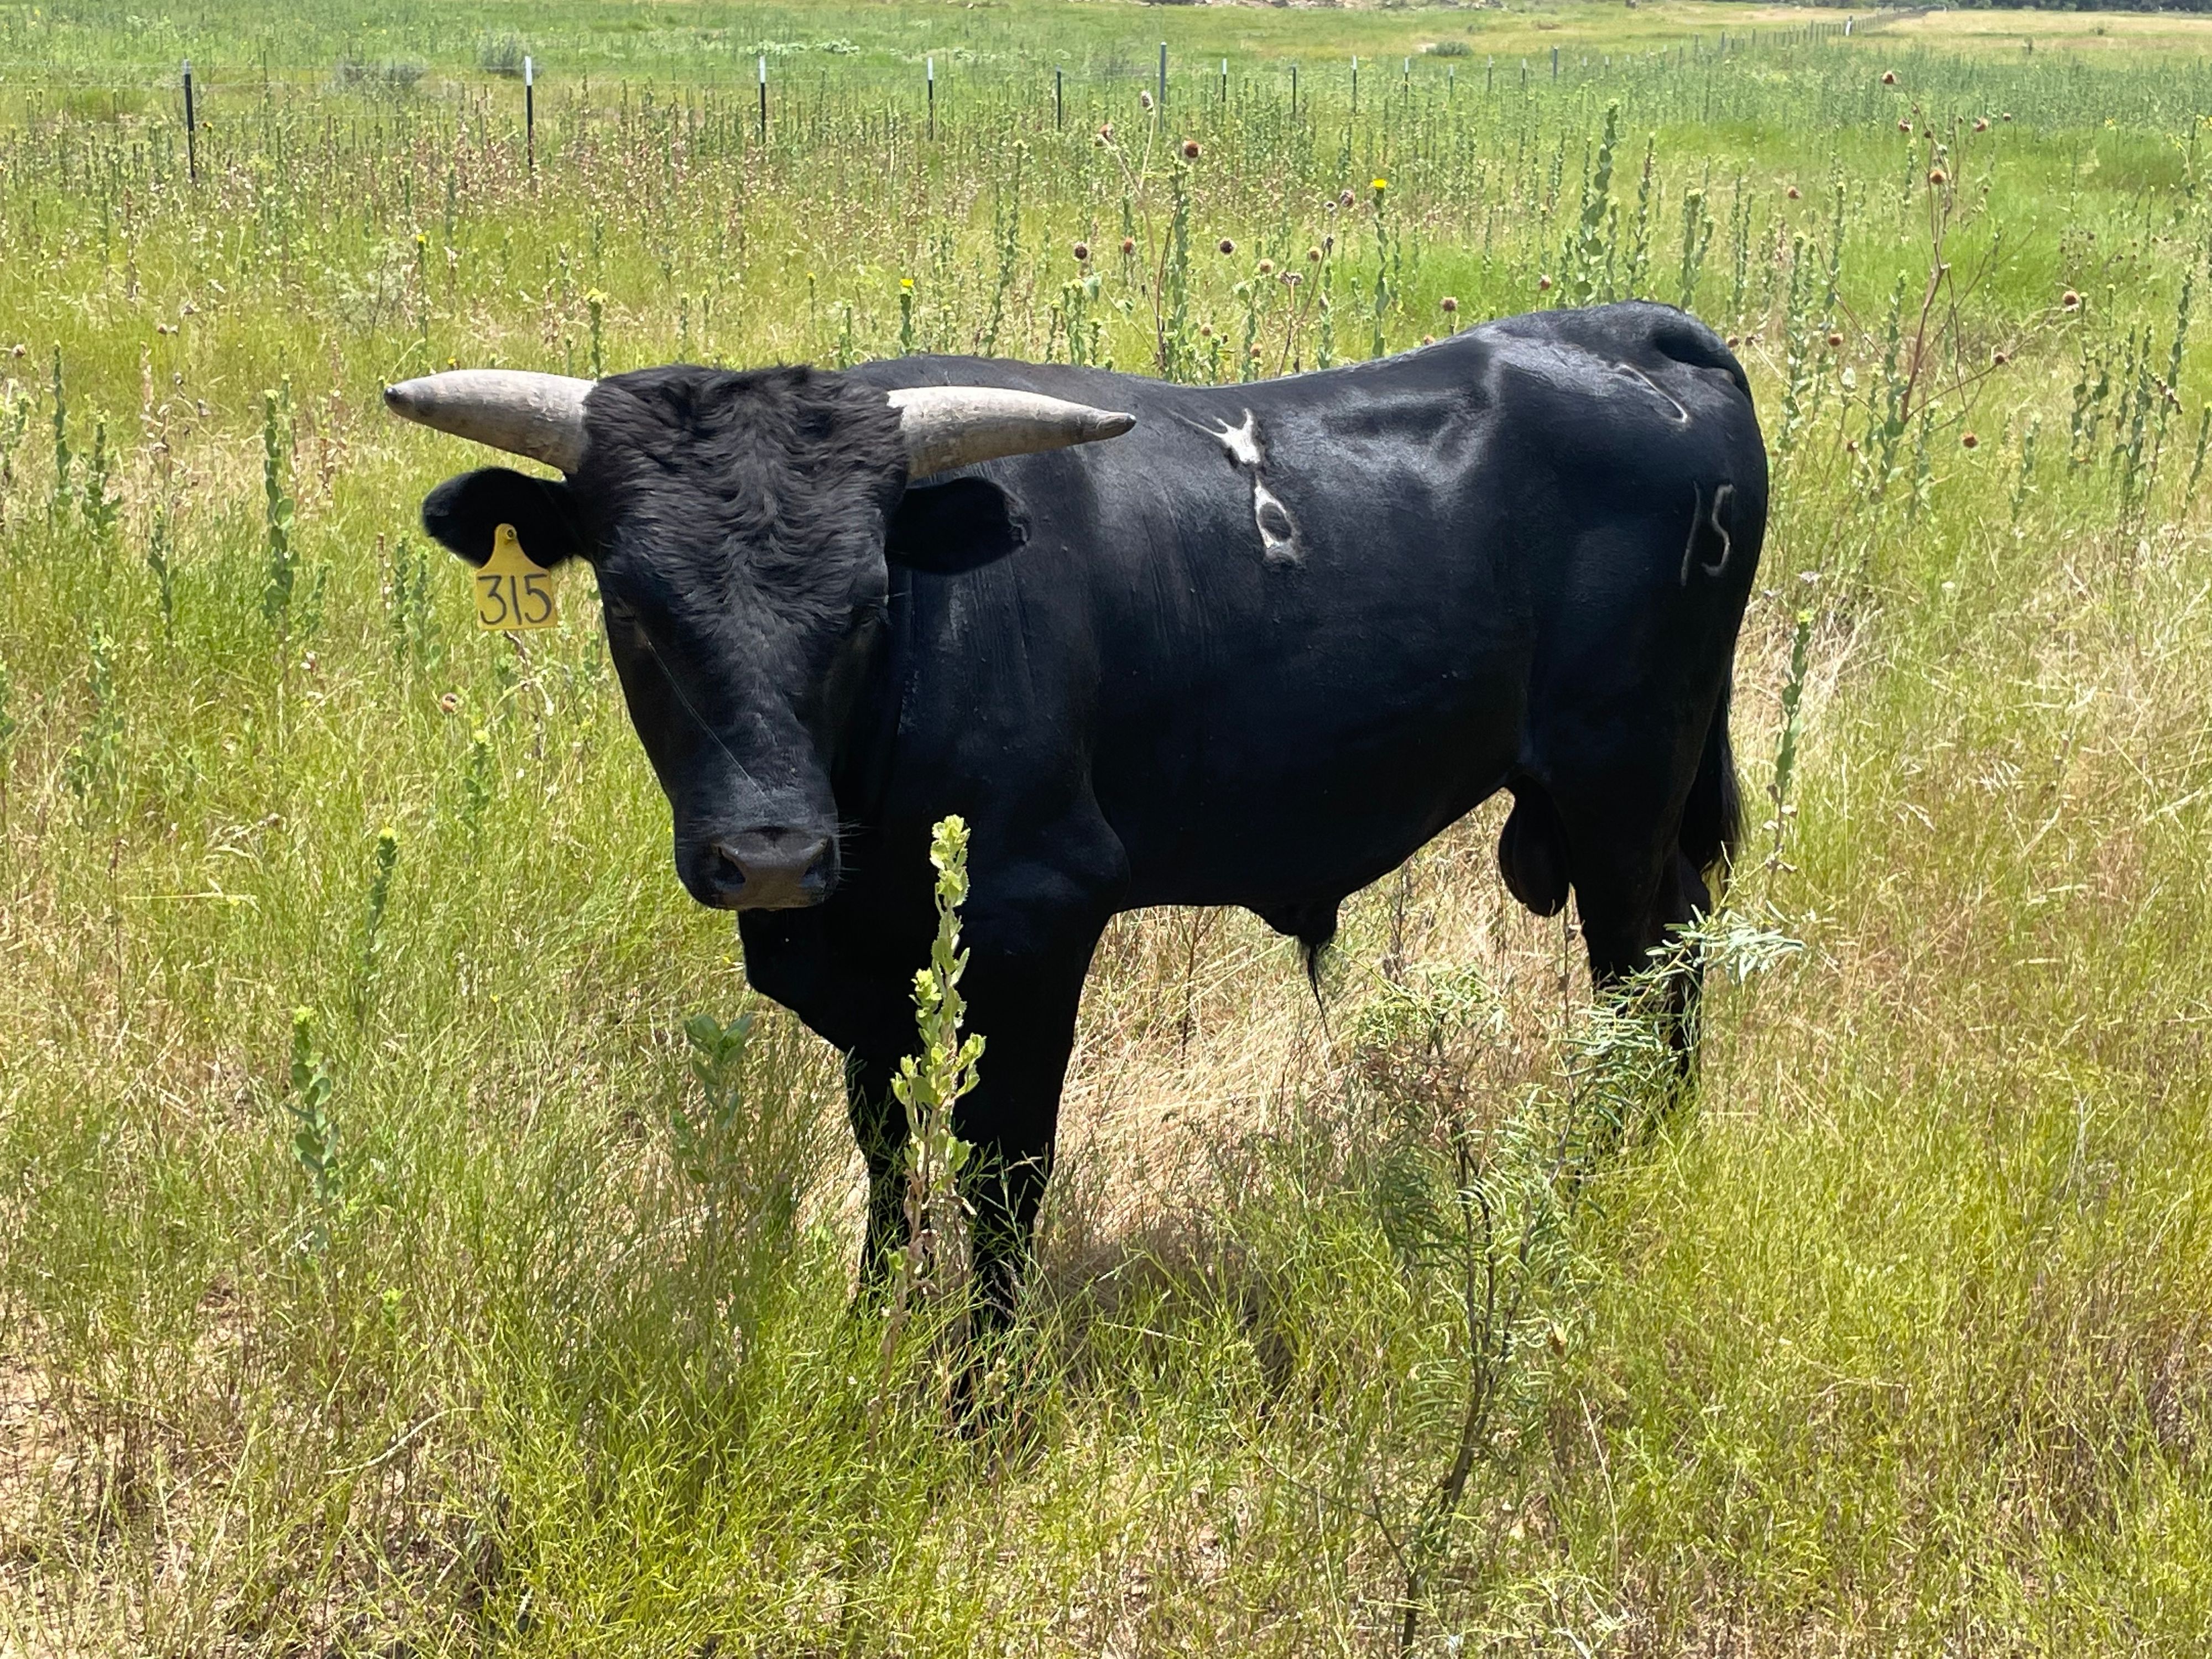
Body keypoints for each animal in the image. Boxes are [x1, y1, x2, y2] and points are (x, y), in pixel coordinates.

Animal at [386, 300, 1767, 1327]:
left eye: (866, 598)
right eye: (630, 604)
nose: (769, 854)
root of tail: (1636, 330)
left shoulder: (1036, 915)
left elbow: (1001, 1171)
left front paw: (978, 1400)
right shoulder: (867, 961)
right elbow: (885, 1150)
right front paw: (871, 1331)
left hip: (1623, 786)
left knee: (1643, 974)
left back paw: (1611, 1175)